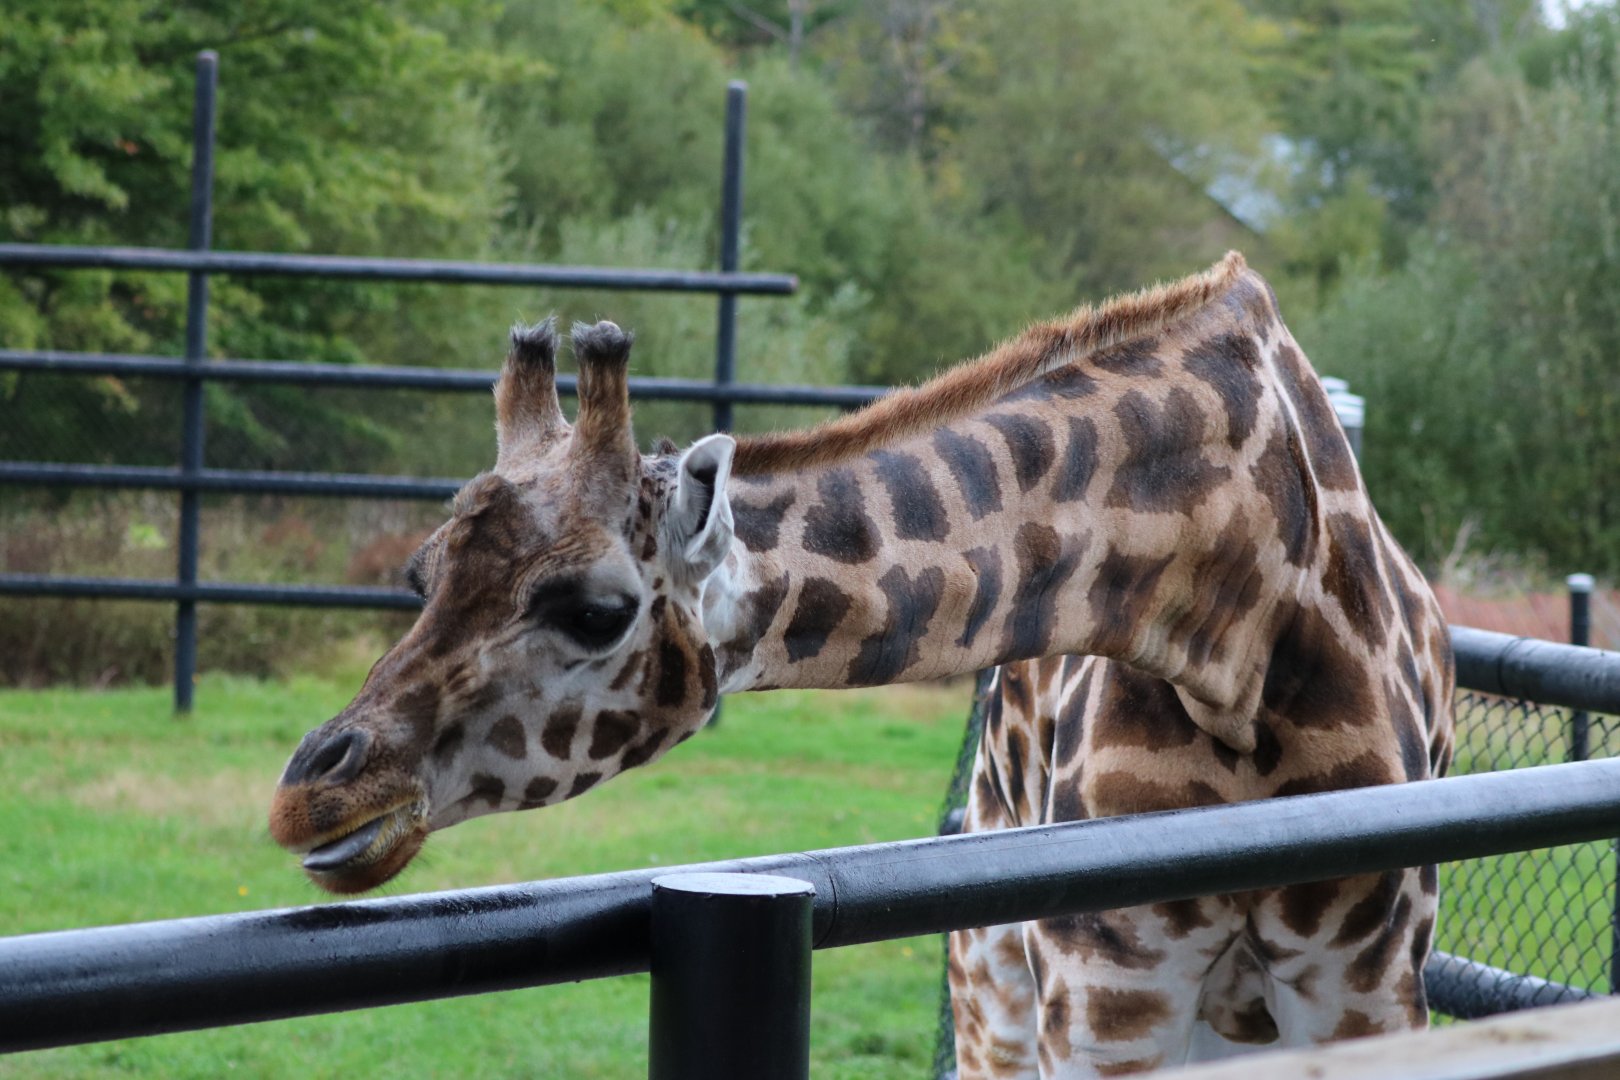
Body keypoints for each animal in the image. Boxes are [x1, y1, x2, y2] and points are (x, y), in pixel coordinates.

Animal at [267, 251, 1453, 1076]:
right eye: (422, 572)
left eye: (597, 611)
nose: (310, 794)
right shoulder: (1108, 981)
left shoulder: (1367, 988)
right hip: (995, 983)